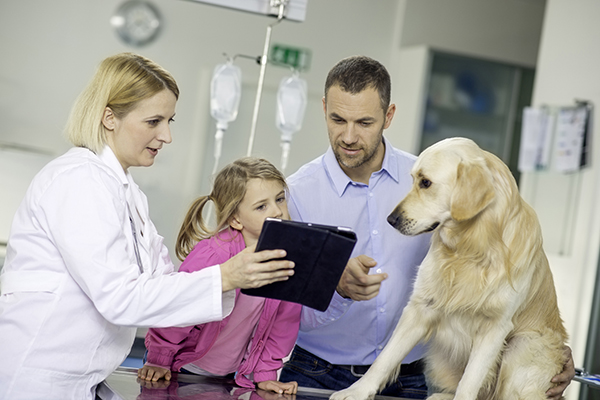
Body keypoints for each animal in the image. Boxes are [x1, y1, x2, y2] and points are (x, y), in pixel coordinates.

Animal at [330, 138, 568, 400]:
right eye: (413, 179)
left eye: (425, 182)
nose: (391, 220)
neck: (470, 247)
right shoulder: (419, 308)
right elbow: (384, 359)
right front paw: (356, 391)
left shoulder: (496, 327)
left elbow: (469, 382)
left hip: (523, 344)